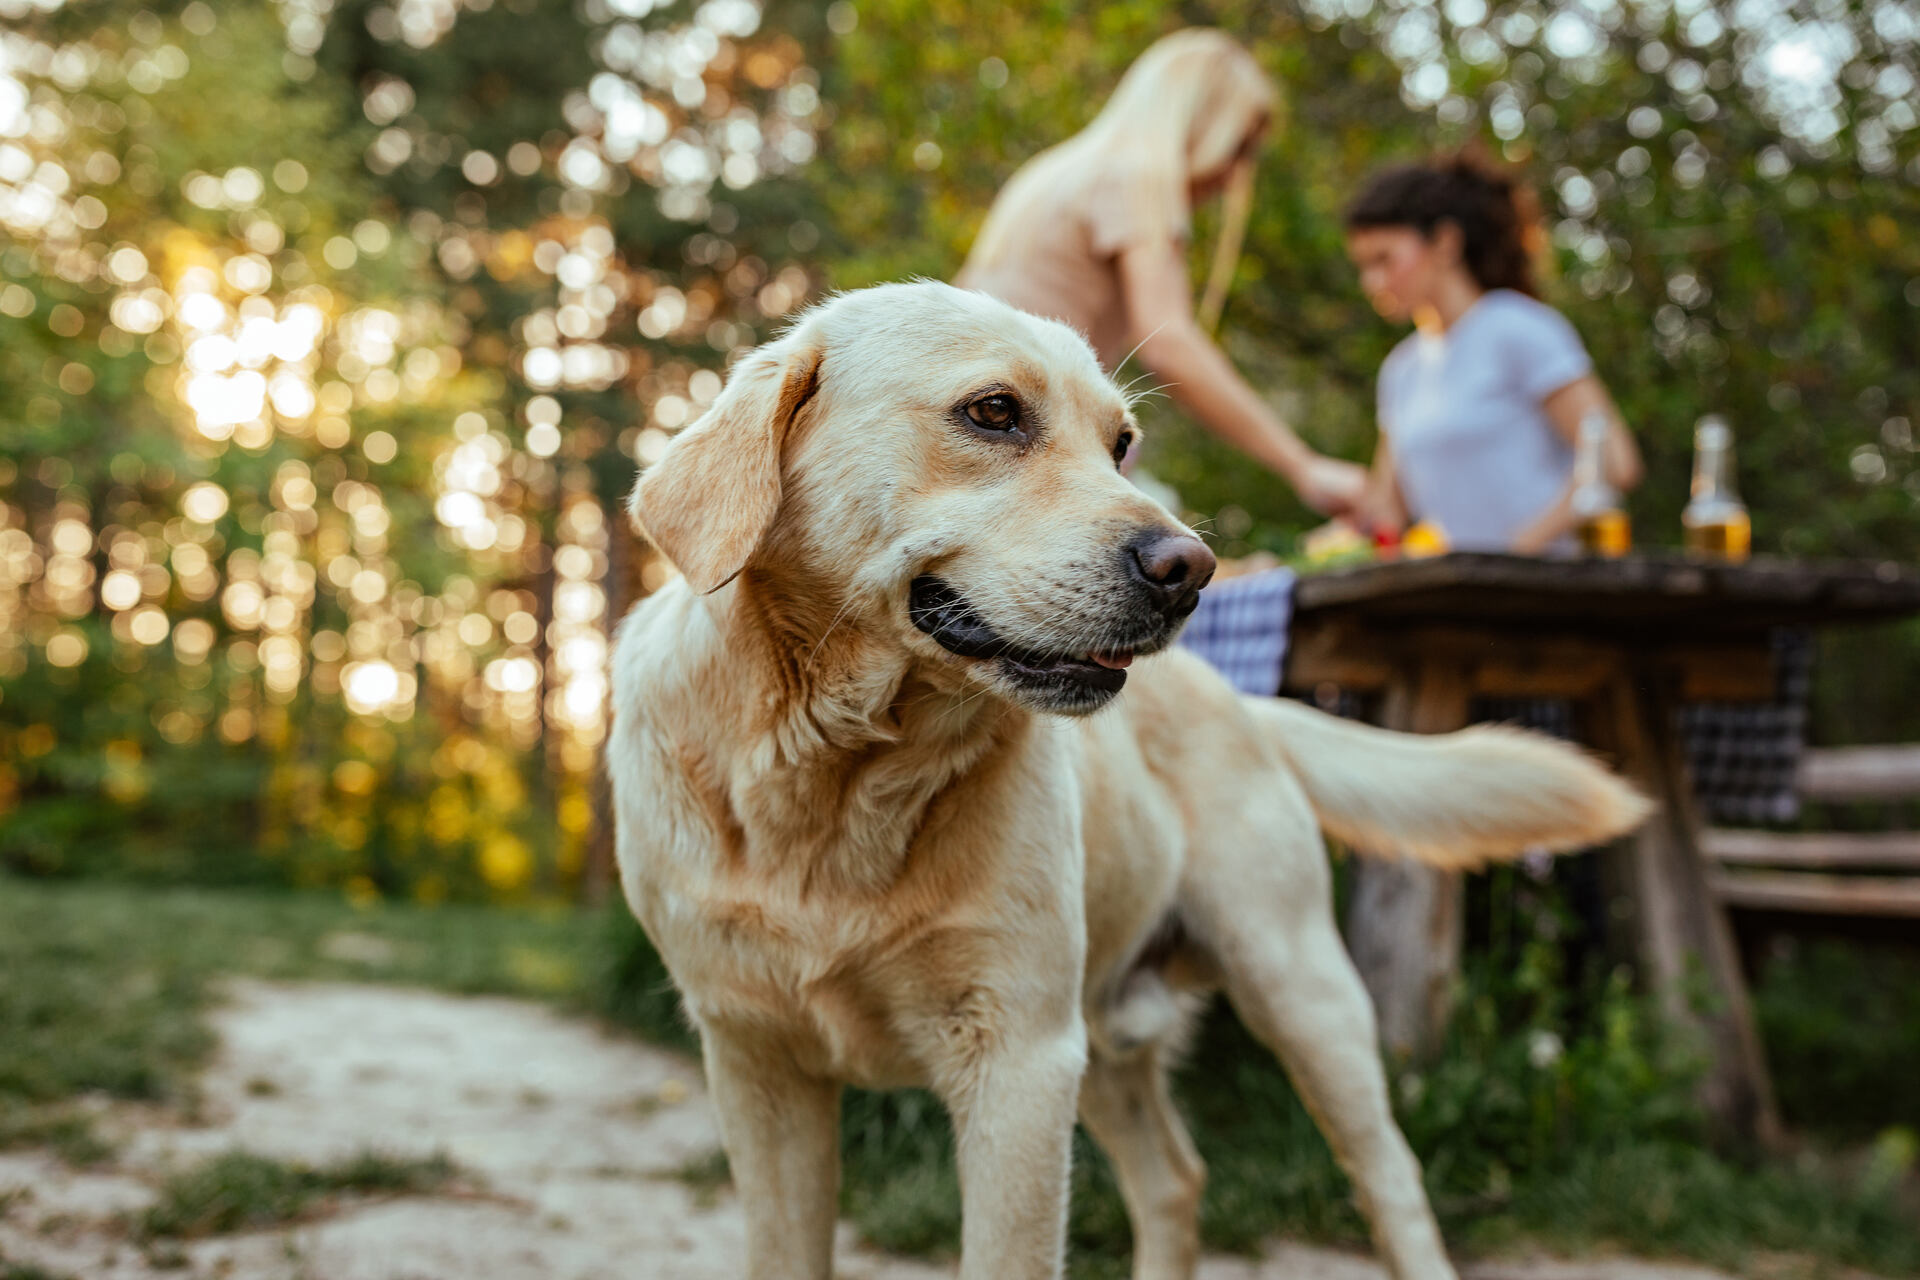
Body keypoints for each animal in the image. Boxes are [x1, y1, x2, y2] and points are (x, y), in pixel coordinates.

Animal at [614, 282, 1651, 1280]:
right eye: (994, 412)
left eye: (1121, 445)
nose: (1191, 569)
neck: (840, 782)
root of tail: (1243, 705)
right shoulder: (758, 1066)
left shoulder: (1020, 1064)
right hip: (1110, 1040)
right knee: (1175, 1181)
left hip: (1302, 996)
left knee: (1390, 1180)